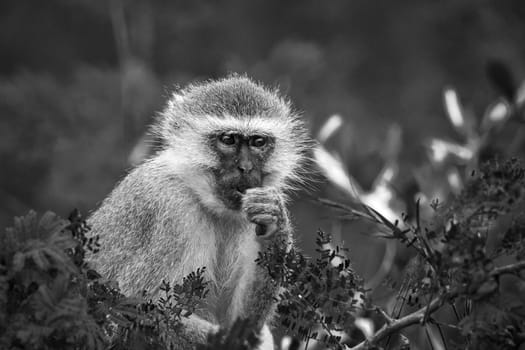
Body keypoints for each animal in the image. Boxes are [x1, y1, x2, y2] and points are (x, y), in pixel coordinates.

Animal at [89, 75, 312, 348]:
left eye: (258, 142)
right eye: (228, 140)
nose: (246, 167)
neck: (198, 194)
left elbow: (238, 320)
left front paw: (274, 226)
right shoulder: (172, 211)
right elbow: (134, 306)